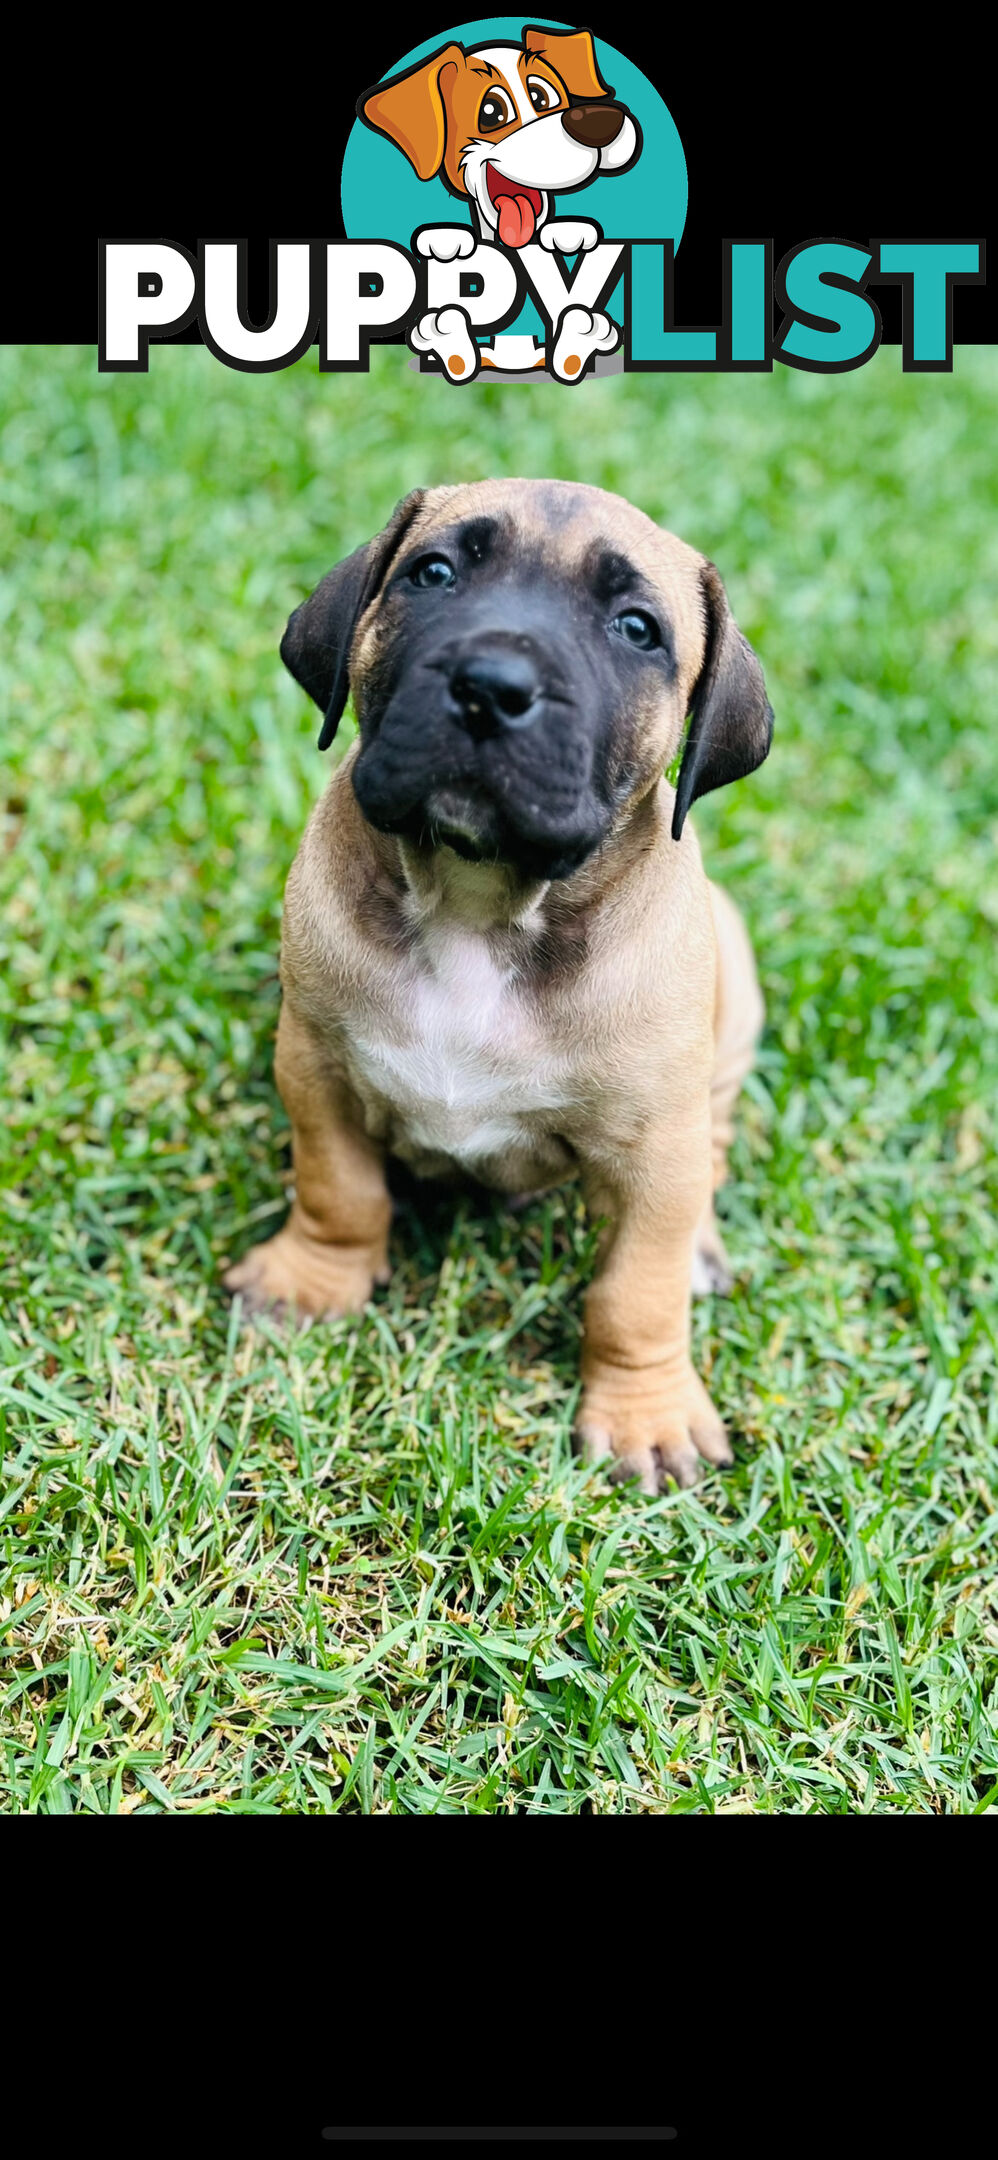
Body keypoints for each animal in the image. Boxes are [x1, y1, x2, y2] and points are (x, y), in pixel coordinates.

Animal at [225, 481, 773, 1494]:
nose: (491, 685)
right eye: (433, 573)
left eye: (636, 630)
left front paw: (645, 1415)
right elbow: (337, 1190)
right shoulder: (316, 1069)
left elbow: (638, 1291)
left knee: (712, 1147)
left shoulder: (654, 1150)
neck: (479, 903)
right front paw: (310, 1283)